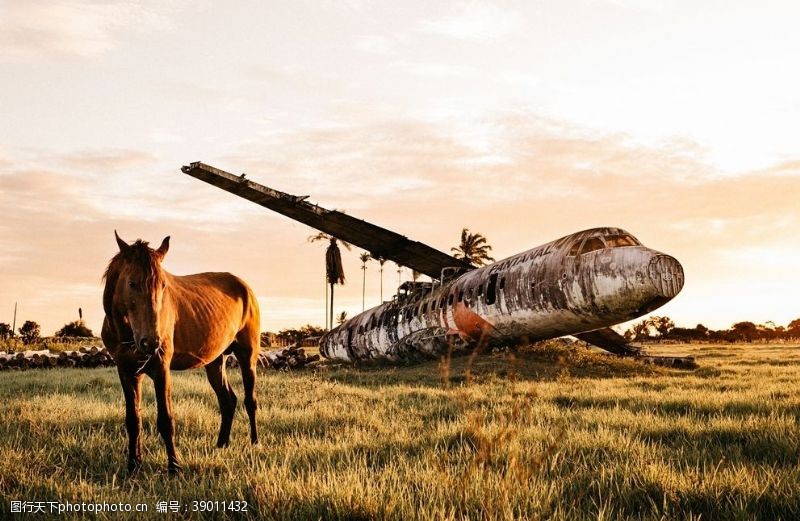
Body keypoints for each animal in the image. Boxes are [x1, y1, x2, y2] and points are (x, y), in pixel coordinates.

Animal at [101, 230, 260, 474]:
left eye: (164, 285)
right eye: (131, 283)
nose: (151, 342)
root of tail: (245, 288)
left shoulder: (161, 368)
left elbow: (166, 420)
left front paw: (174, 467)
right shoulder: (127, 371)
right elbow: (133, 420)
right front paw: (133, 466)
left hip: (247, 355)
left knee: (250, 400)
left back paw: (254, 443)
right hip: (215, 361)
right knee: (227, 400)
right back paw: (221, 444)